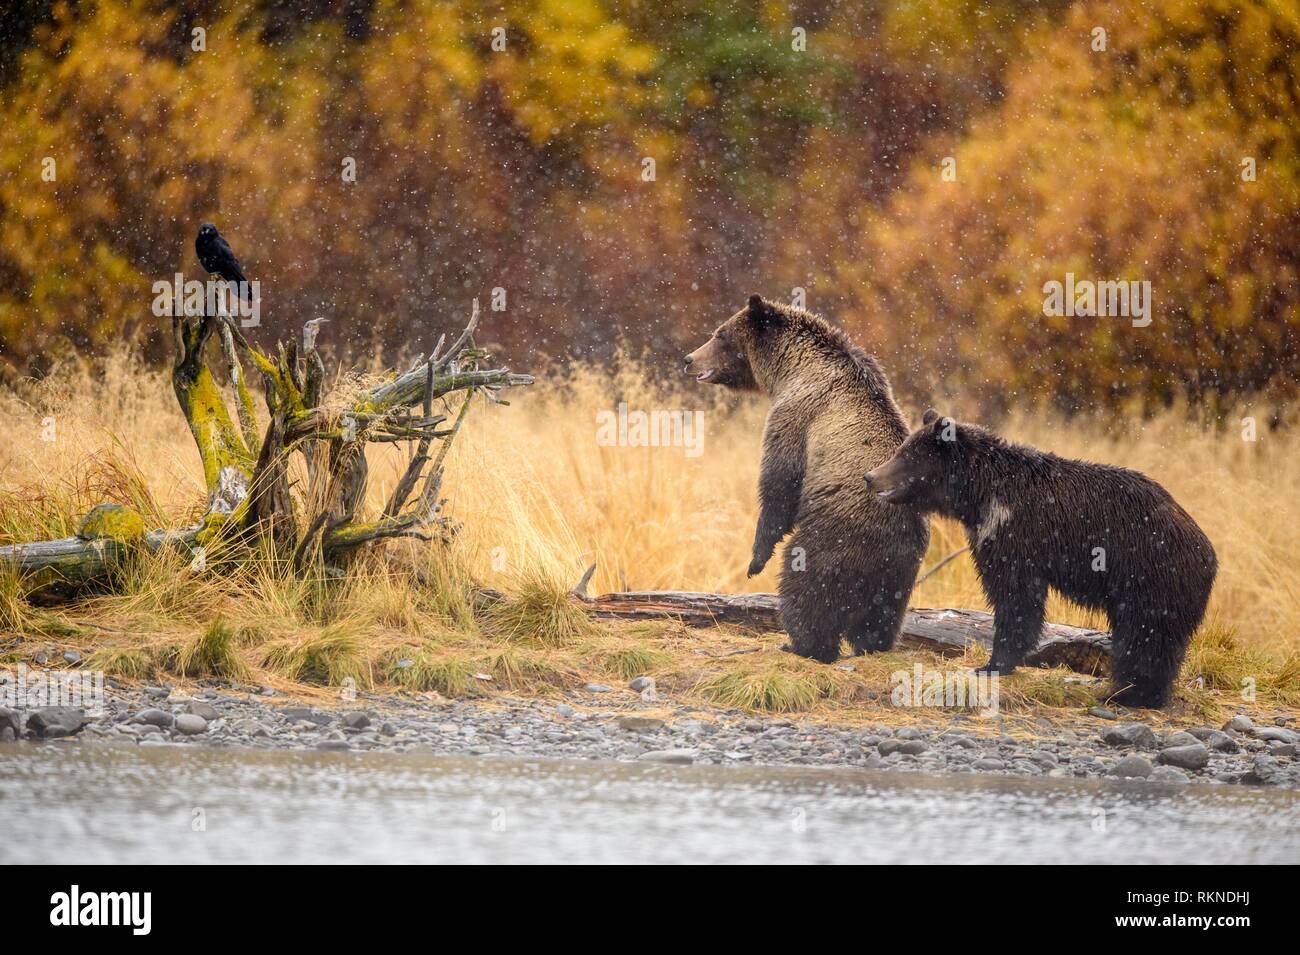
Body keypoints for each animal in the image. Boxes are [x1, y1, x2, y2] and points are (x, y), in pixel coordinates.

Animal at [684, 295, 929, 662]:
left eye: (720, 334)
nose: (688, 359)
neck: (791, 369)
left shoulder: (797, 413)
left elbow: (780, 482)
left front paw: (755, 560)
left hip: (834, 540)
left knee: (808, 590)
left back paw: (802, 643)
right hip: (899, 575)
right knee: (881, 615)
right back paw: (871, 645)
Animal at [863, 410, 1218, 708]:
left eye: (908, 456)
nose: (871, 476)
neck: (982, 496)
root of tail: (1208, 552)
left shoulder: (1017, 536)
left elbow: (1015, 598)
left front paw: (992, 663)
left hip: (1150, 575)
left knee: (1146, 636)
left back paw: (1130, 694)